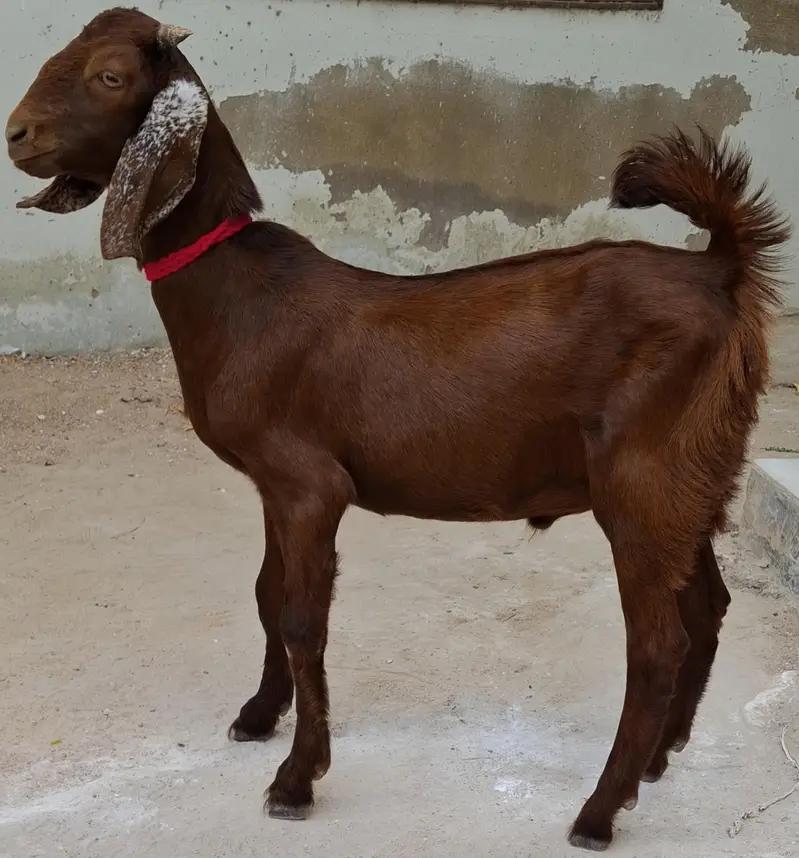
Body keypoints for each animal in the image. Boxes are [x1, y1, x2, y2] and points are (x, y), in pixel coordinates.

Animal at [5, 7, 791, 852]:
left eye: (110, 76)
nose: (16, 134)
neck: (236, 292)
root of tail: (719, 271)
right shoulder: (271, 486)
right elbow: (265, 593)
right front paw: (259, 715)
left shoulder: (309, 483)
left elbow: (300, 619)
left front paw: (296, 779)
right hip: (693, 476)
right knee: (706, 607)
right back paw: (657, 760)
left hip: (642, 479)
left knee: (655, 645)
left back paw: (598, 810)